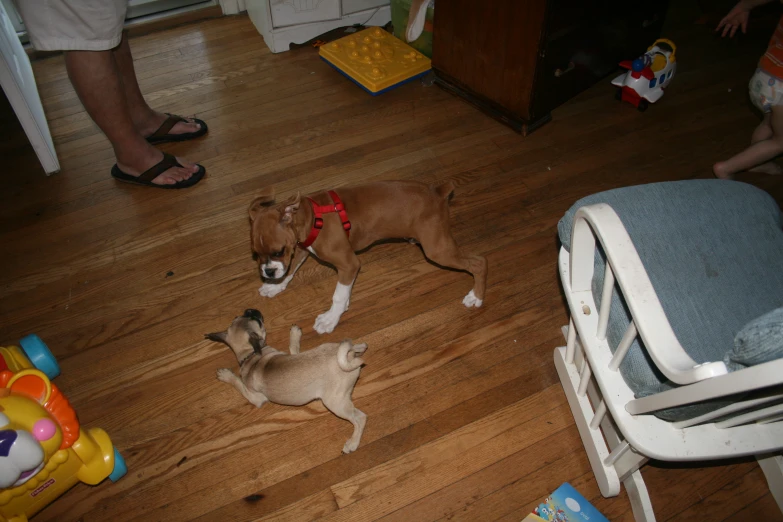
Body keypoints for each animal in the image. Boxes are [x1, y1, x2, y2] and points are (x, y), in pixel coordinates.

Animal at [207, 308, 370, 450]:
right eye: (239, 316)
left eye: (255, 319)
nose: (251, 310)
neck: (250, 355)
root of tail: (348, 358)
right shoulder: (291, 354)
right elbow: (294, 348)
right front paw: (295, 334)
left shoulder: (254, 398)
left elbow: (238, 383)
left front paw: (226, 375)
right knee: (349, 345)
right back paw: (360, 347)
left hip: (334, 403)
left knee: (360, 418)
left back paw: (352, 443)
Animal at [248, 179, 486, 334]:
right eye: (256, 254)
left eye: (277, 251)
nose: (268, 272)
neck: (314, 217)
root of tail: (437, 191)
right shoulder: (300, 249)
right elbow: (290, 272)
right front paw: (275, 286)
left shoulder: (349, 265)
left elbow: (338, 295)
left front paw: (330, 318)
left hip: (437, 250)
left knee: (478, 263)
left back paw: (476, 296)